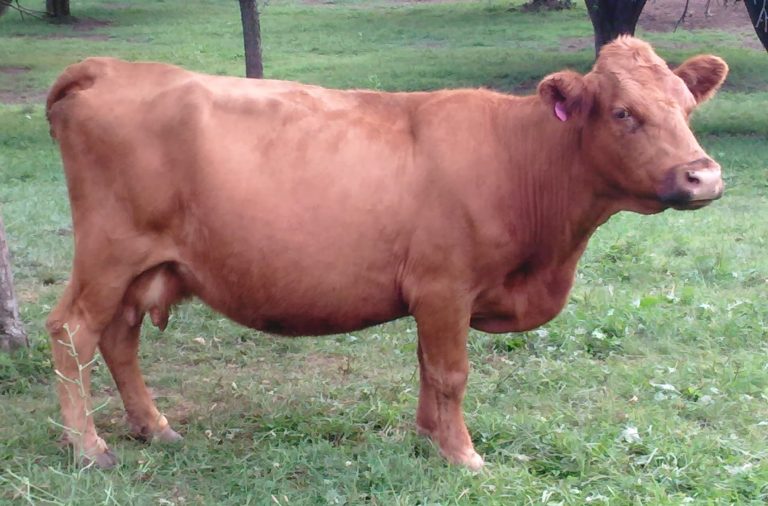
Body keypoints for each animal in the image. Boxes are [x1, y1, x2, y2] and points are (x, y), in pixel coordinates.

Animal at [45, 36, 727, 470]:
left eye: (687, 107)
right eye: (623, 113)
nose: (703, 176)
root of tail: (110, 66)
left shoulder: (433, 296)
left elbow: (427, 368)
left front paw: (428, 438)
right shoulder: (446, 287)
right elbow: (451, 373)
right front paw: (463, 455)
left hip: (144, 267)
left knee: (120, 337)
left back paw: (154, 428)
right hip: (109, 253)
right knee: (73, 333)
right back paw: (90, 449)